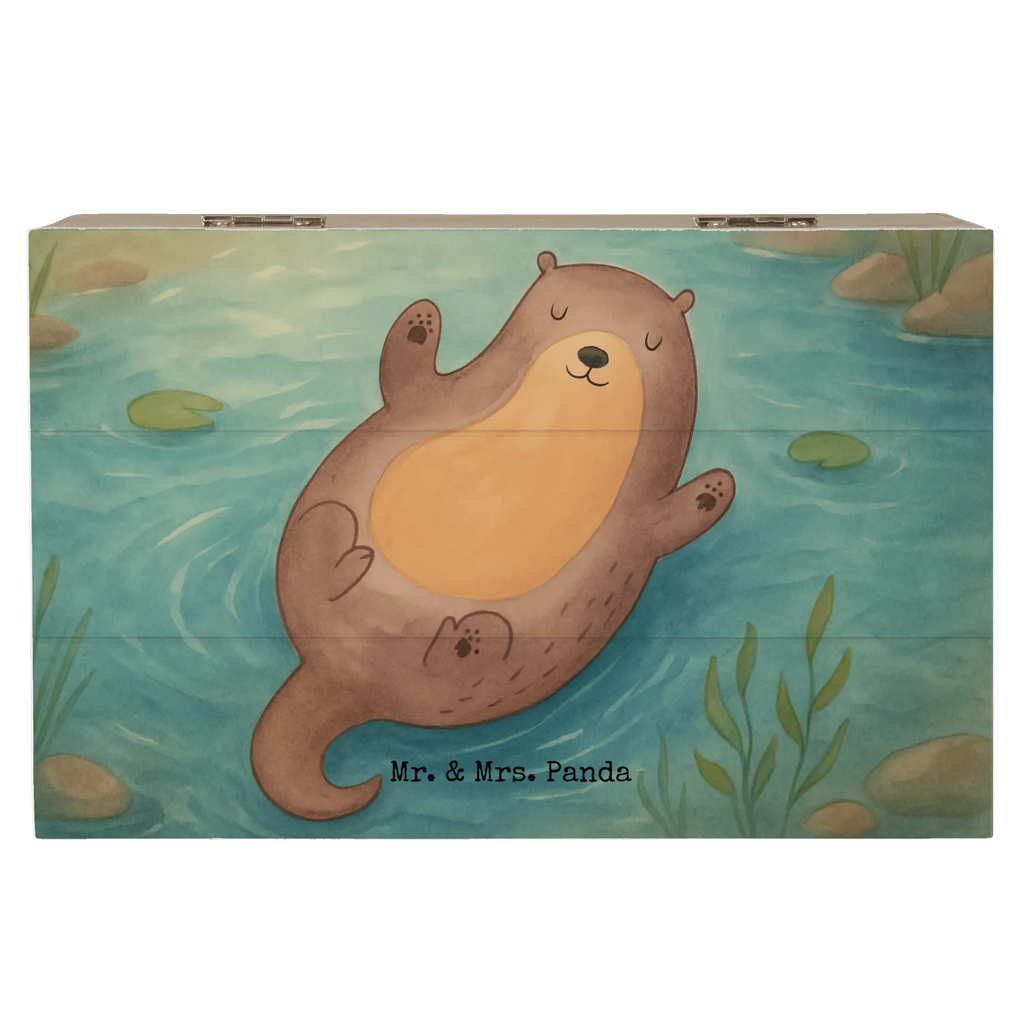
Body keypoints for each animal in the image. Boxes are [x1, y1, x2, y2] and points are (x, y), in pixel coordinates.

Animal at [251, 251, 735, 820]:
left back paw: (468, 637)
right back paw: (342, 546)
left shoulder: (641, 517)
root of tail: (341, 673)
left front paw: (713, 490)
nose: (595, 352)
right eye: (557, 310)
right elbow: (407, 379)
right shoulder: (436, 398)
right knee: (319, 545)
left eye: (652, 341)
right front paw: (420, 322)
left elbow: (671, 522)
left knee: (458, 667)